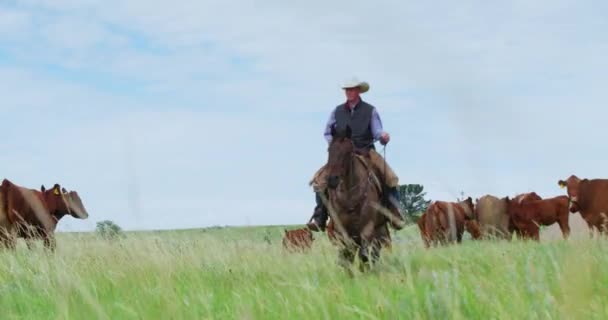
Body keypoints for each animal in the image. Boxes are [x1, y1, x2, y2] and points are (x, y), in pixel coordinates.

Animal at [324, 126, 390, 272]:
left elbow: (363, 255)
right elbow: (346, 255)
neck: (350, 195)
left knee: (374, 251)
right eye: (329, 150)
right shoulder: (342, 230)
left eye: (348, 151)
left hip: (379, 229)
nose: (332, 180)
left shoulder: (367, 228)